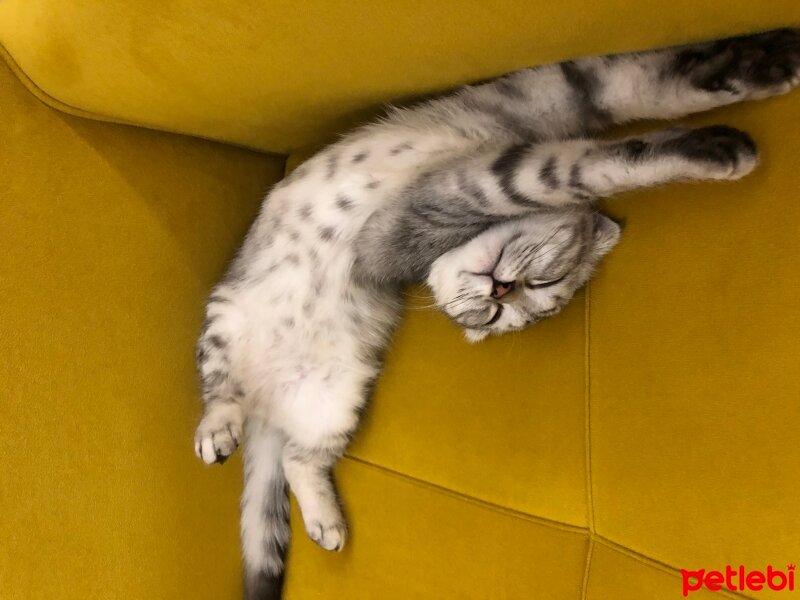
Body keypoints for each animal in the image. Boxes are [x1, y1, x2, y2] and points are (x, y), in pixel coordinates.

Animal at [195, 29, 800, 600]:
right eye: (497, 312)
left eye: (535, 289)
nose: (501, 292)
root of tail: (266, 408)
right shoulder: (461, 184)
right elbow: (583, 166)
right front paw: (720, 148)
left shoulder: (570, 90)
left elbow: (663, 81)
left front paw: (773, 60)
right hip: (224, 322)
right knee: (222, 392)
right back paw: (218, 432)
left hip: (336, 401)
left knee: (299, 461)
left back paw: (325, 523)